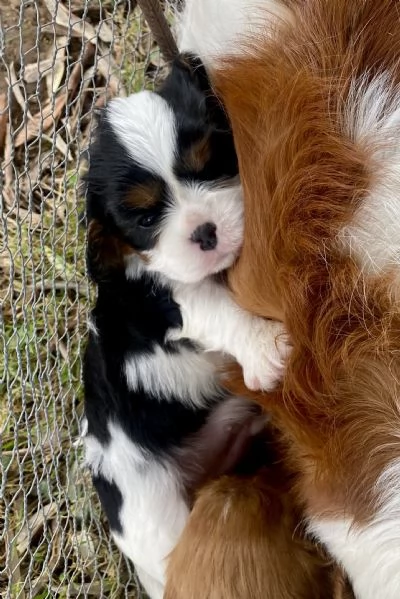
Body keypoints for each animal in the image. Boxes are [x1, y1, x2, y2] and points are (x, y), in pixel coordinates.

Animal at [83, 52, 290, 599]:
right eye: (144, 218)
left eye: (210, 164)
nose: (204, 232)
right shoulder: (171, 300)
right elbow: (218, 310)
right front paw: (266, 347)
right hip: (158, 510)